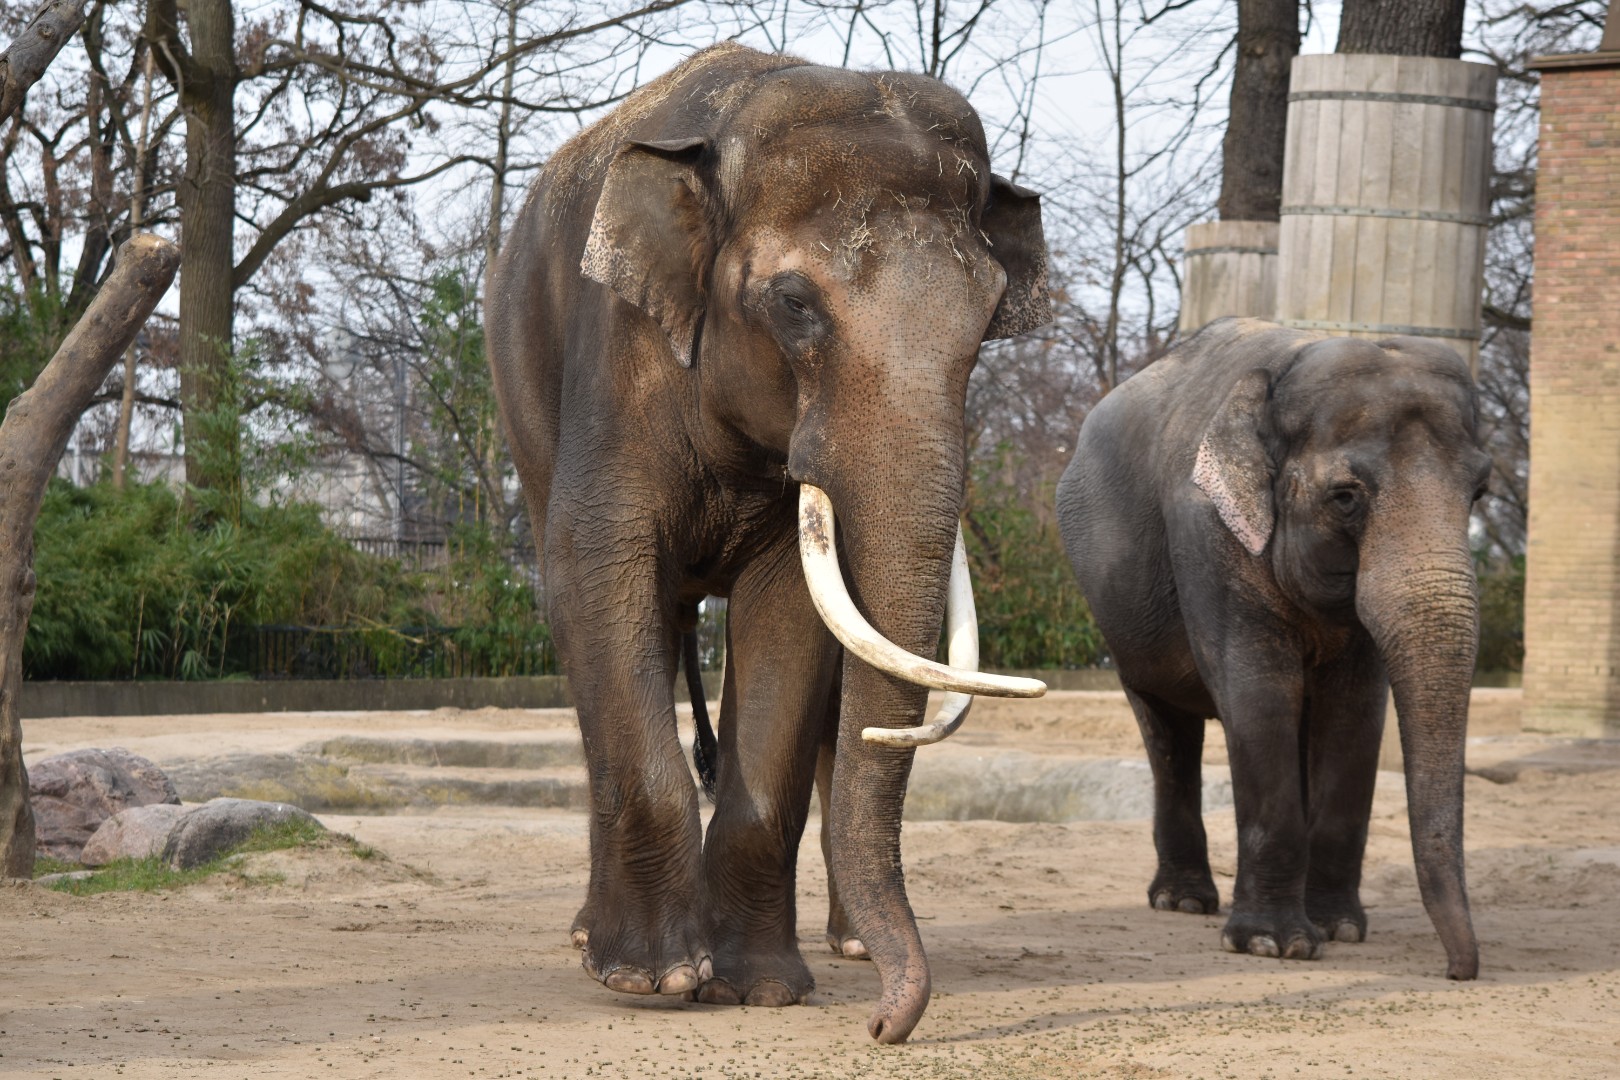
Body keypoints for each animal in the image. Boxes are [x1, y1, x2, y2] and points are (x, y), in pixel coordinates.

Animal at [485, 42, 1050, 1043]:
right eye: (793, 303)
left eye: (988, 321)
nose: (884, 1029)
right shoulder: (619, 355)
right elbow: (597, 574)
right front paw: (658, 979)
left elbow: (792, 617)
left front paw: (758, 990)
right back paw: (597, 942)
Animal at [1055, 318, 1485, 980]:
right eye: (1345, 497)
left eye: (1479, 493)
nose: (1458, 972)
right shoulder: (1208, 532)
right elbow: (1259, 696)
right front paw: (1272, 945)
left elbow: (1354, 713)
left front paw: (1338, 930)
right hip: (1116, 616)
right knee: (1166, 732)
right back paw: (1182, 902)